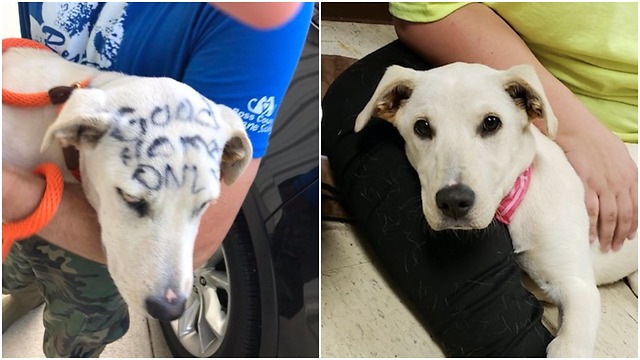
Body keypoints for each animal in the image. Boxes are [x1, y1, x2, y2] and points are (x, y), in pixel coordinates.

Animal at [358, 62, 636, 358]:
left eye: (491, 123)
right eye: (421, 127)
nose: (453, 201)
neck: (516, 201)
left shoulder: (578, 288)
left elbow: (568, 347)